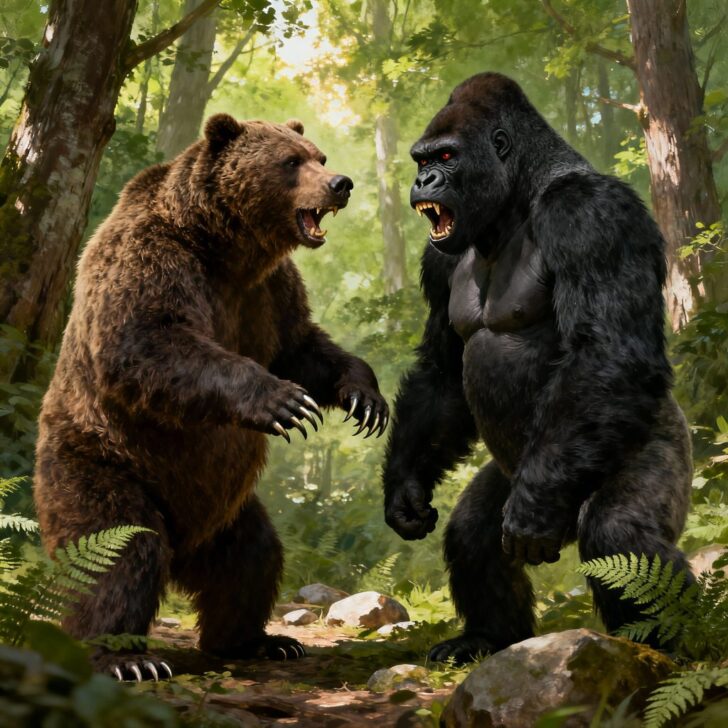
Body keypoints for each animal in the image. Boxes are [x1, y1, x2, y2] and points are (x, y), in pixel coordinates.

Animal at [34, 114, 389, 680]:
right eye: (291, 161)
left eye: (320, 156)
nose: (341, 184)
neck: (224, 248)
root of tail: (185, 545)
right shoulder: (153, 259)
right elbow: (147, 339)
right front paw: (284, 402)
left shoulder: (268, 292)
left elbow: (302, 347)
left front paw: (364, 398)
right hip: (100, 463)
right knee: (119, 552)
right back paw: (124, 659)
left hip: (226, 510)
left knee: (251, 559)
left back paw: (257, 641)